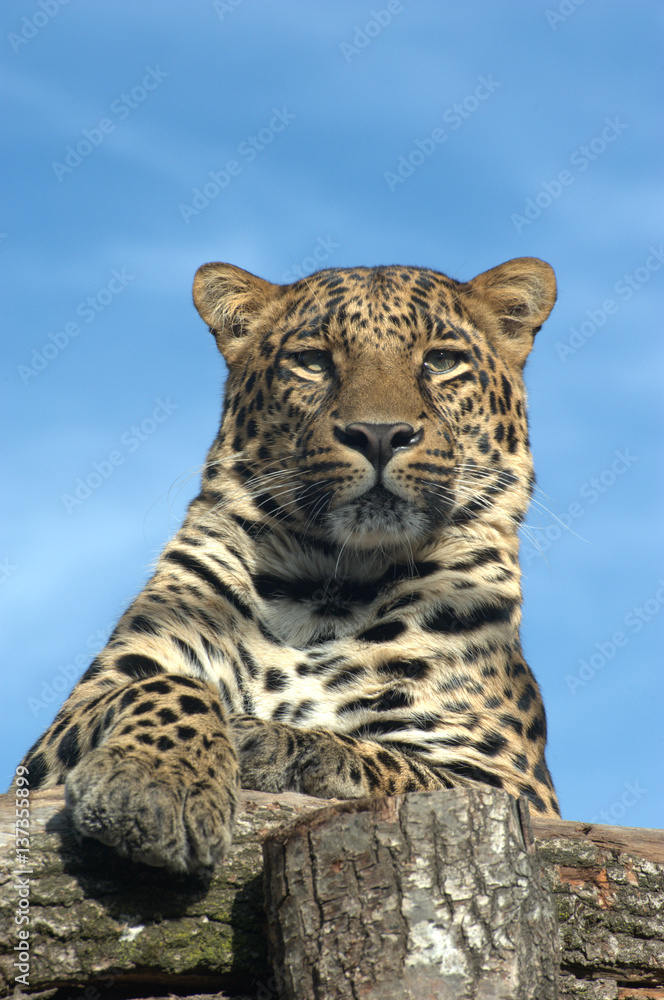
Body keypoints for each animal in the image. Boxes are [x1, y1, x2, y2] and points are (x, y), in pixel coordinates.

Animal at [18, 255, 560, 873]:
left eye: (442, 361)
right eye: (313, 362)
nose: (379, 434)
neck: (328, 588)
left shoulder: (509, 782)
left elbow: (405, 767)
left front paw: (275, 740)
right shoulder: (60, 734)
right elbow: (171, 684)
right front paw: (156, 782)